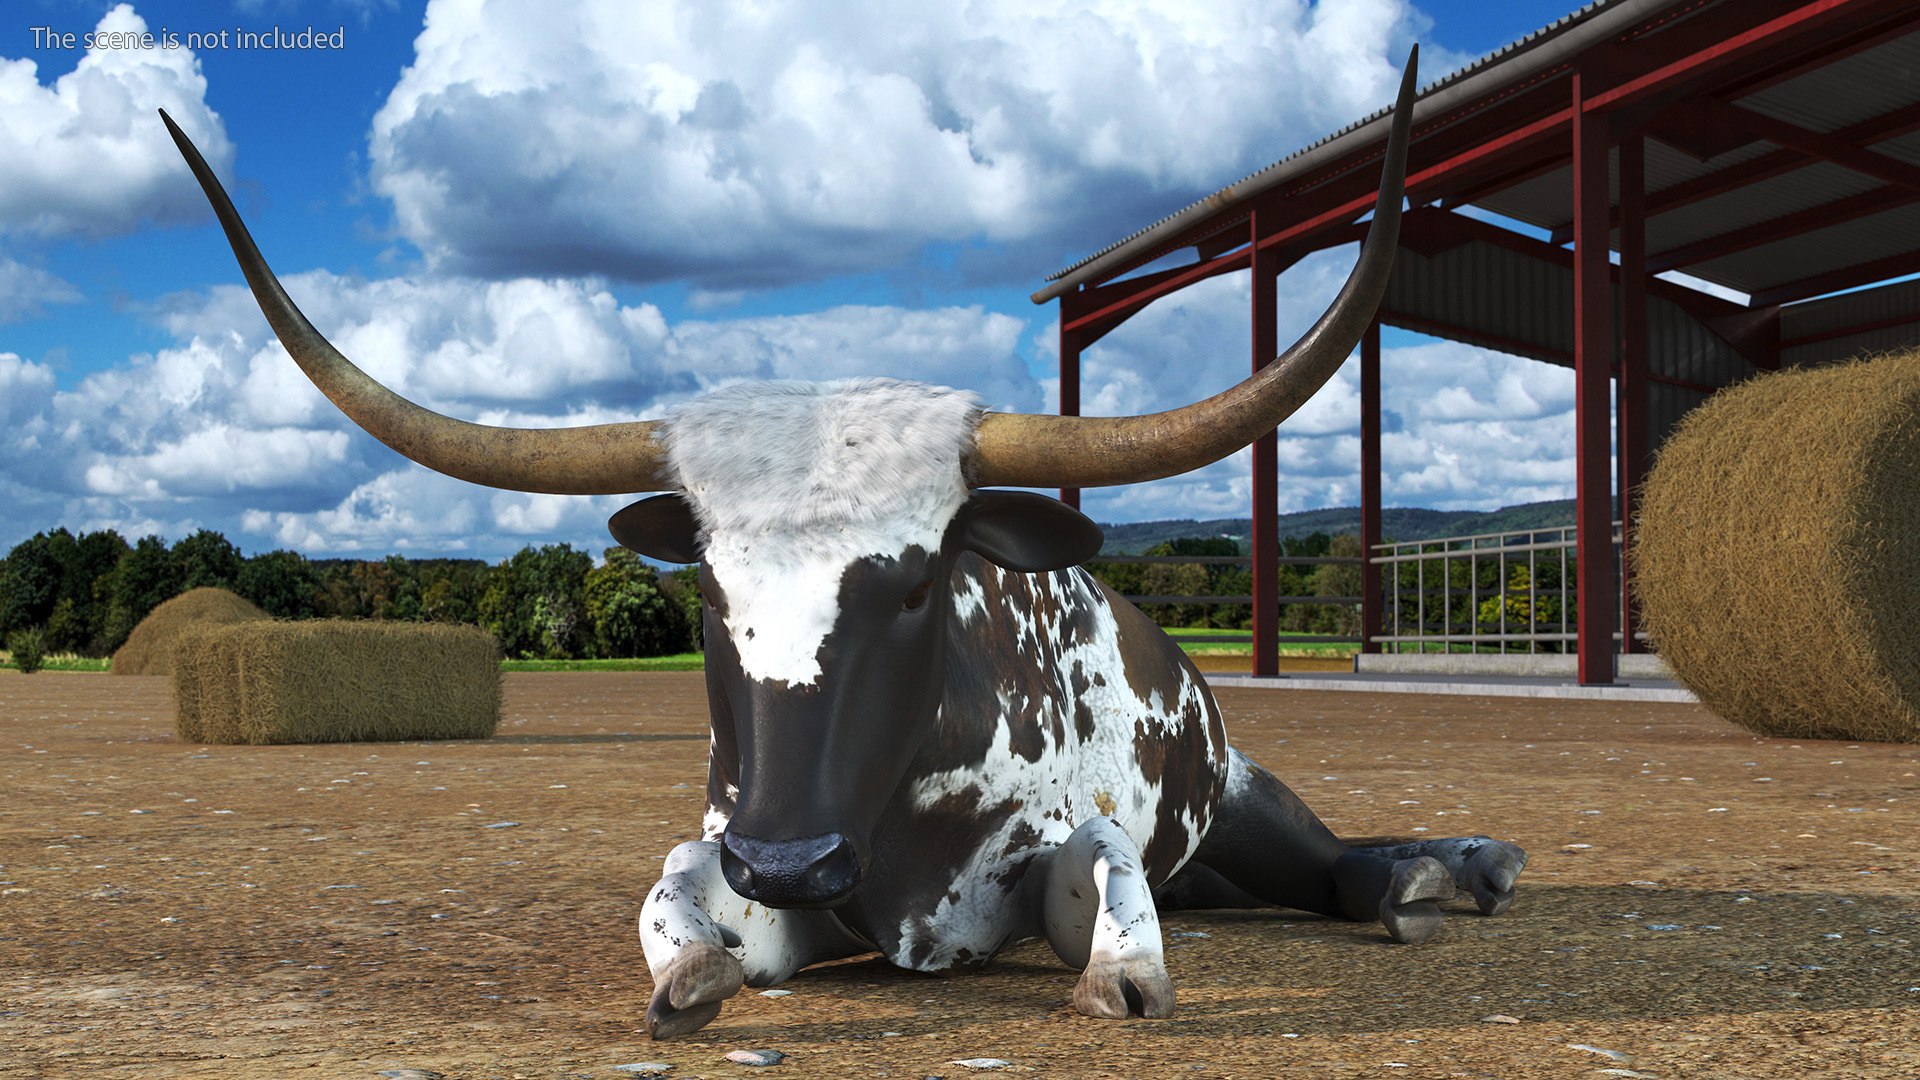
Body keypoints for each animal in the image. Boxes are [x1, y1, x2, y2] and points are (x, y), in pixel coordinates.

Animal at [161, 49, 1526, 1038]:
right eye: (707, 591)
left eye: (920, 584)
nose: (792, 854)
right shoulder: (760, 873)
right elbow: (678, 888)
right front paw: (686, 973)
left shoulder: (1062, 845)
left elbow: (1105, 874)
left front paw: (1125, 971)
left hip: (1239, 793)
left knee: (1333, 862)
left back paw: (1451, 868)